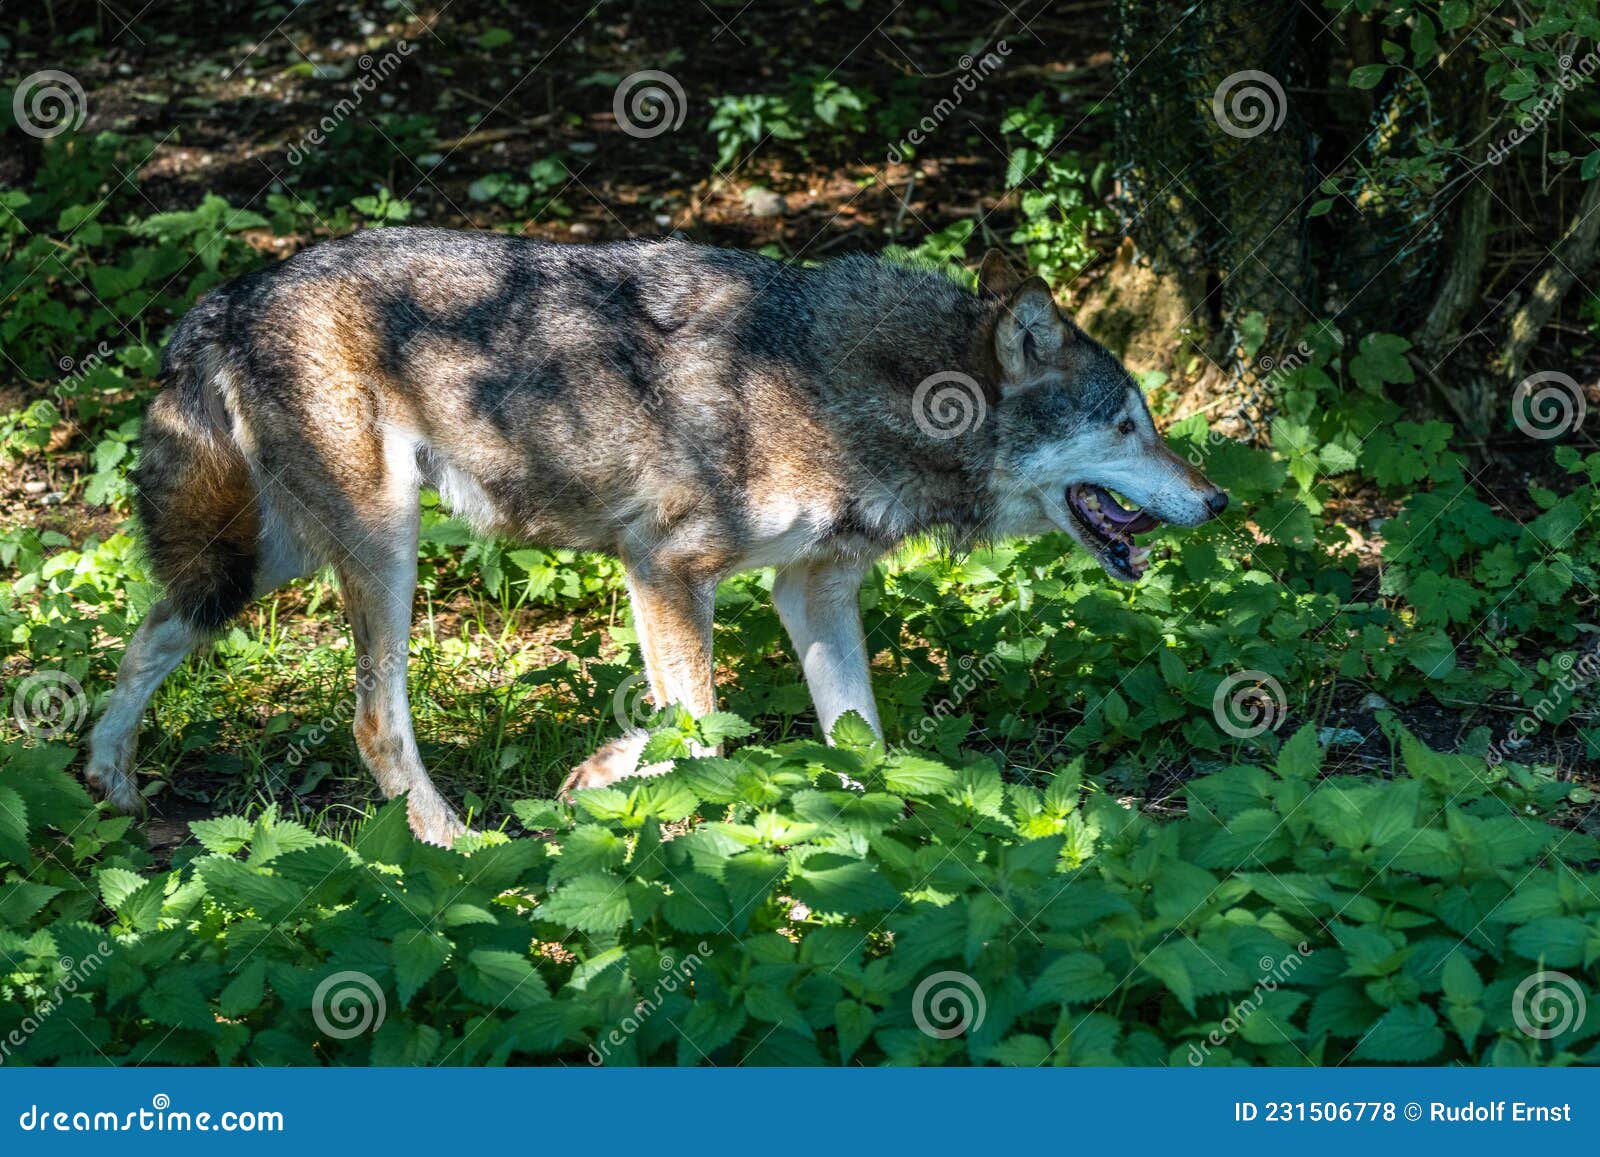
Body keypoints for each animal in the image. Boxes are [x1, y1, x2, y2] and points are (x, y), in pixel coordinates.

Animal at [84, 228, 1222, 844]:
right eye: (1131, 425)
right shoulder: (667, 566)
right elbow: (703, 731)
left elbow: (859, 739)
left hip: (261, 560)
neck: (862, 390)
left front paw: (888, 839)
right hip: (380, 549)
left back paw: (107, 783)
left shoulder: (813, 588)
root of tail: (231, 292)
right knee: (372, 722)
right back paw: (453, 845)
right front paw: (636, 800)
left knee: (148, 638)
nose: (1214, 501)